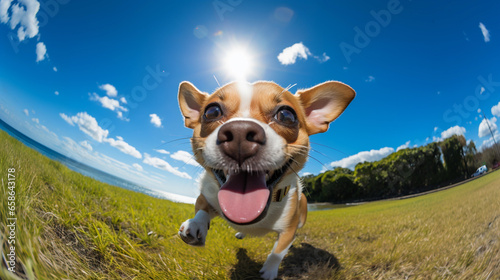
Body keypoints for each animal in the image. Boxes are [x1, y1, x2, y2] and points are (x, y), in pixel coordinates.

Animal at [178, 80, 354, 278]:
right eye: (212, 112)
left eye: (286, 115)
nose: (240, 132)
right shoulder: (207, 196)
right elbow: (202, 209)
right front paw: (195, 225)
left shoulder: (288, 231)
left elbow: (277, 252)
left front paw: (269, 271)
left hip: (301, 219)